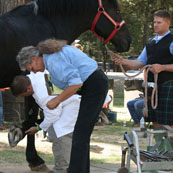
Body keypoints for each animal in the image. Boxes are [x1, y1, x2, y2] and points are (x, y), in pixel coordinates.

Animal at [0, 0, 130, 170]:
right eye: (117, 10)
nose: (128, 41)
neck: (44, 22)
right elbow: (32, 116)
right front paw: (34, 159)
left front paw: (19, 134)